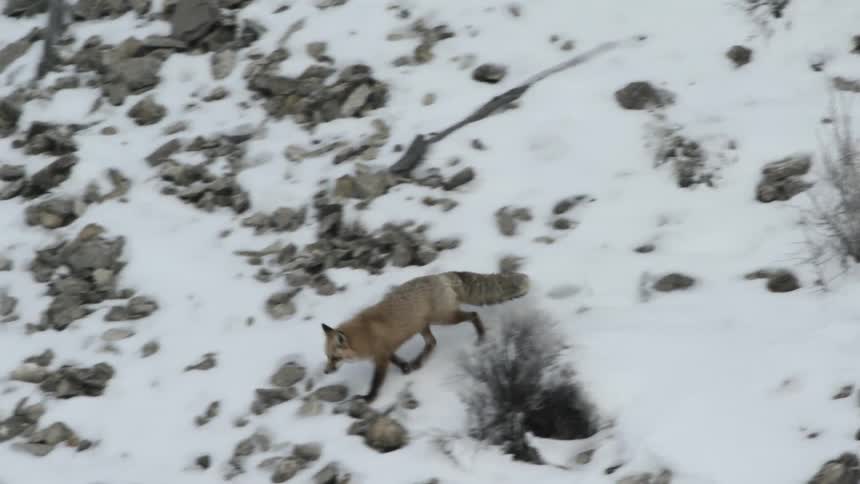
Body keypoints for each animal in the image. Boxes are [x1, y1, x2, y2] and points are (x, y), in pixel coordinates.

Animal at [320, 270, 530, 402]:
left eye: (335, 358)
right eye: (327, 357)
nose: (326, 372)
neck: (364, 334)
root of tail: (441, 276)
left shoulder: (380, 358)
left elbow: (376, 383)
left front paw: (369, 398)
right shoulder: (385, 351)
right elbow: (397, 360)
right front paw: (405, 367)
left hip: (445, 318)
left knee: (473, 315)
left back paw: (482, 336)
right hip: (424, 326)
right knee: (432, 342)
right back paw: (417, 362)